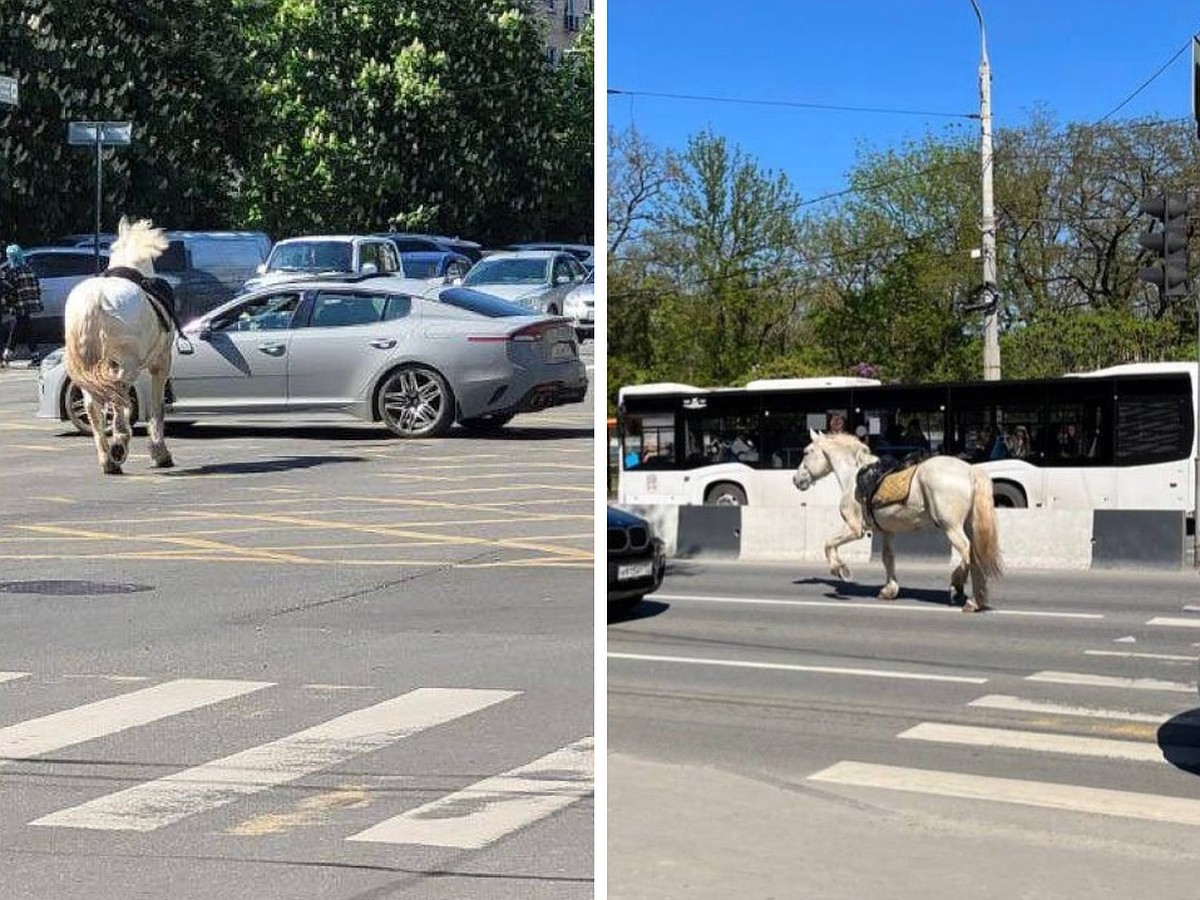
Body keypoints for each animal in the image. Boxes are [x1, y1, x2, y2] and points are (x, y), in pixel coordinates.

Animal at [63, 217, 175, 475]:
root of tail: (96, 299)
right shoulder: (160, 364)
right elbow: (157, 408)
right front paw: (159, 452)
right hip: (127, 364)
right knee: (118, 393)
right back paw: (119, 443)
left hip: (89, 367)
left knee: (94, 404)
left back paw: (107, 458)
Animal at [796, 432, 1003, 614]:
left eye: (806, 452)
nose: (796, 479)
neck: (854, 477)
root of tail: (970, 470)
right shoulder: (887, 531)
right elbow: (888, 558)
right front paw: (889, 590)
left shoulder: (855, 529)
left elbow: (829, 544)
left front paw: (841, 570)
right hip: (967, 526)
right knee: (973, 554)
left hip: (951, 528)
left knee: (969, 554)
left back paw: (969, 597)